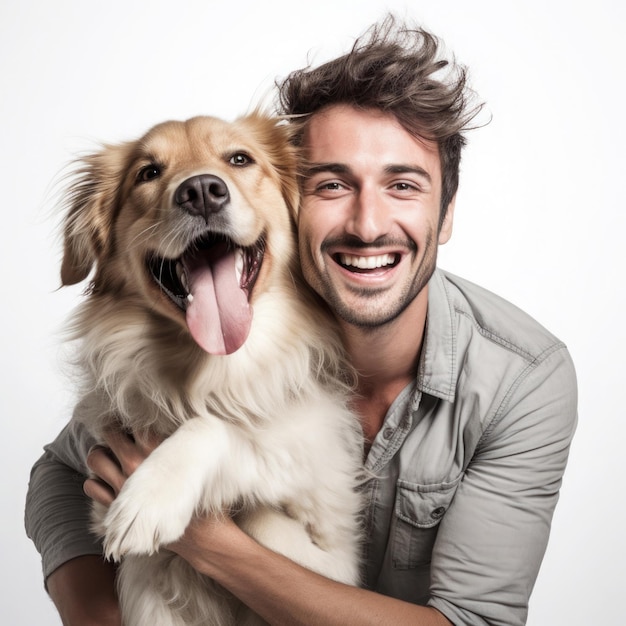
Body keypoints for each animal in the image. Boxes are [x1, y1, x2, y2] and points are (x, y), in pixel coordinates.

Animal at [59, 113, 360, 624]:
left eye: (239, 159)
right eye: (148, 173)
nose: (201, 191)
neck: (217, 375)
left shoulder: (335, 553)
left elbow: (229, 451)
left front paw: (150, 498)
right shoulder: (101, 497)